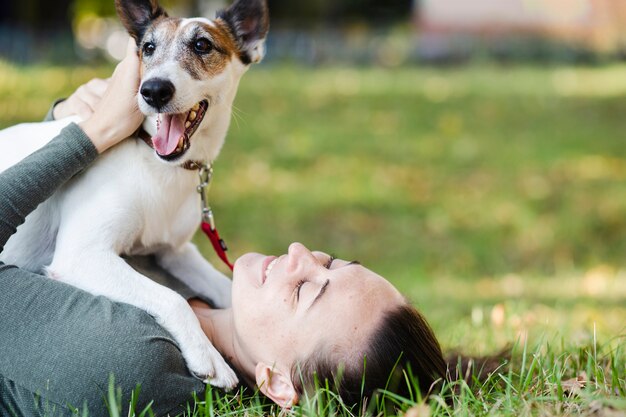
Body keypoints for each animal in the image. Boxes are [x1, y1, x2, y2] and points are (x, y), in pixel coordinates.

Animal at [0, 0, 266, 386]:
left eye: (202, 45)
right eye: (148, 48)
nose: (153, 91)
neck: (157, 165)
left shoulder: (174, 251)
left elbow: (225, 287)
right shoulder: (82, 255)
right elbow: (173, 298)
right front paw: (208, 355)